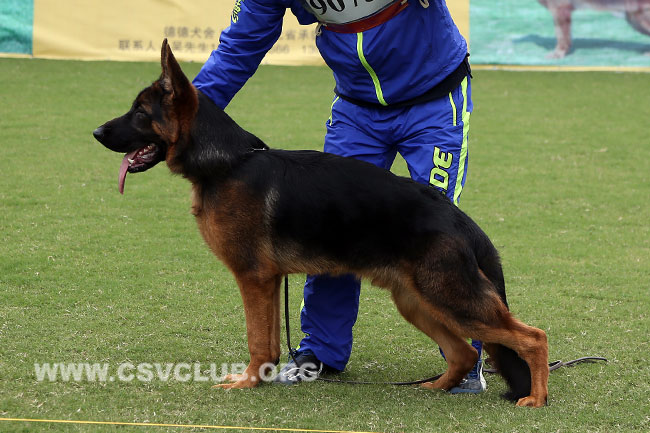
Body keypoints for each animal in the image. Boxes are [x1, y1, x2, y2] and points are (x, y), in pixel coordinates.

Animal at [93, 40, 549, 407]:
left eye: (139, 112)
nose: (95, 131)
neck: (228, 163)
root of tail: (459, 219)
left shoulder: (253, 277)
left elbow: (257, 339)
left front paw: (247, 383)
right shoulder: (268, 280)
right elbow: (269, 341)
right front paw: (260, 379)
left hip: (451, 299)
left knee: (532, 337)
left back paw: (535, 398)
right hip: (417, 301)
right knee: (466, 352)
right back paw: (436, 387)